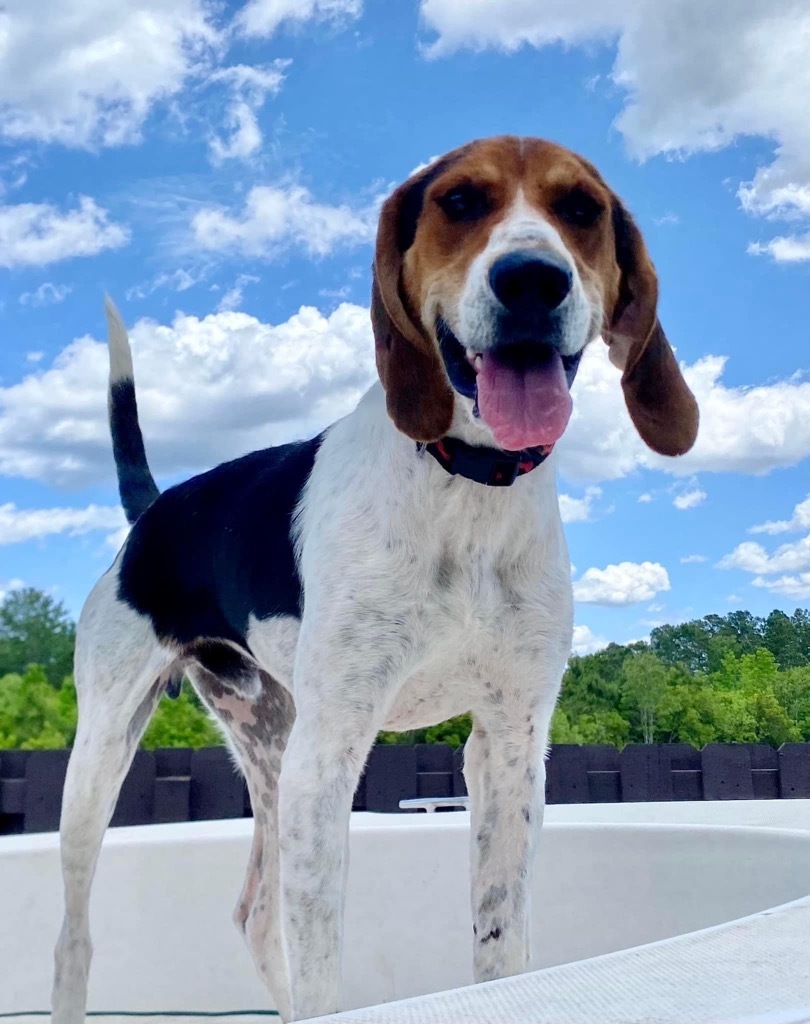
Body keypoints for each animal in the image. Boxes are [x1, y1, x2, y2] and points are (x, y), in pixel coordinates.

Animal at [52, 138, 696, 1024]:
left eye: (582, 209)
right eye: (459, 202)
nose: (533, 278)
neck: (467, 484)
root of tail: (154, 511)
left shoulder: (509, 743)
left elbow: (500, 940)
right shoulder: (333, 752)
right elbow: (323, 960)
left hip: (271, 741)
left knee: (256, 914)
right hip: (108, 758)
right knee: (77, 939)